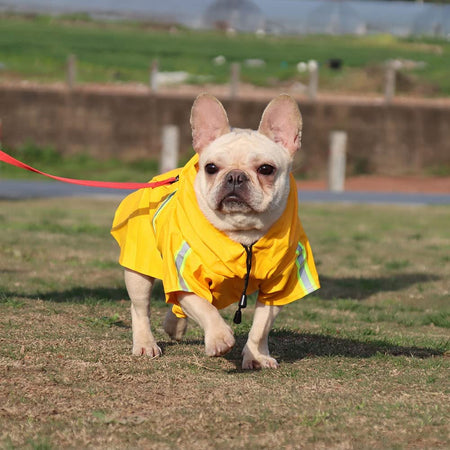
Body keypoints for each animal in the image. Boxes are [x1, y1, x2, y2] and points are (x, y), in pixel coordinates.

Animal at [116, 94, 320, 370]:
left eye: (266, 169)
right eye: (211, 167)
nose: (235, 176)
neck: (241, 233)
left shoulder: (277, 288)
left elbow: (260, 327)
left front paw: (256, 356)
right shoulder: (185, 278)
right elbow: (204, 308)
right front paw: (219, 338)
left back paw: (174, 326)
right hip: (140, 270)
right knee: (140, 308)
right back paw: (146, 343)